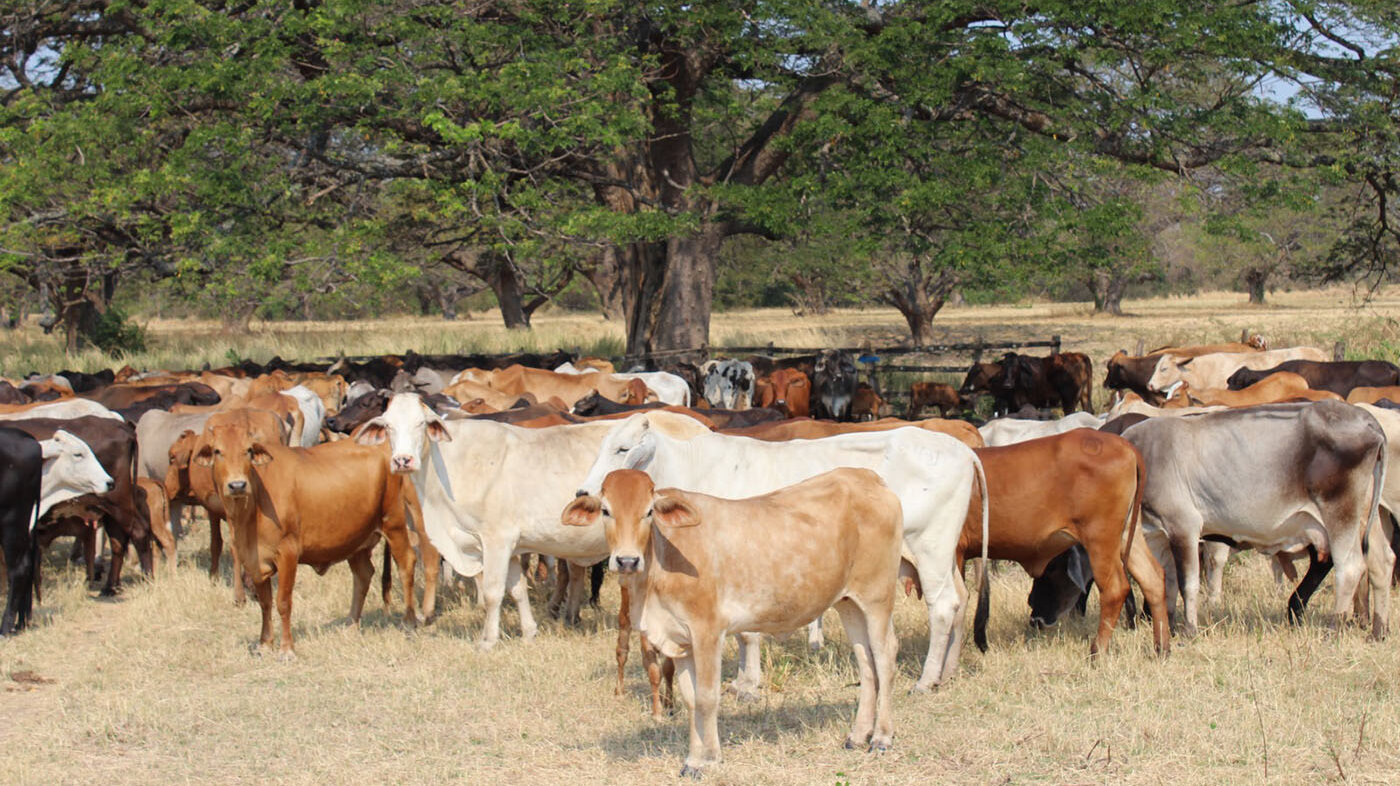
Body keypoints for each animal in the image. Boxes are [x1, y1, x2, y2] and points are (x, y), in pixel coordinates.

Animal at [562, 465, 901, 778]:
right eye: (606, 510)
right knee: (866, 663)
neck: (660, 562)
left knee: (885, 656)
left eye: (648, 512)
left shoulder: (707, 632)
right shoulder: (680, 641)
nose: (627, 561)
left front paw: (706, 760)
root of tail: (867, 477)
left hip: (878, 599)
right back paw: (858, 735)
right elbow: (691, 700)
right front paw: (695, 757)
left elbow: (707, 698)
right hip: (849, 604)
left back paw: (882, 738)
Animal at [574, 411, 991, 692]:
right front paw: (743, 680)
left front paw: (749, 684)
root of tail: (959, 449)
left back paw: (925, 680)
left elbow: (747, 633)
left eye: (622, 448)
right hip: (938, 555)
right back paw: (947, 672)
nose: (584, 491)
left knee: (943, 606)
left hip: (930, 547)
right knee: (961, 599)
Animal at [1120, 400, 1383, 633]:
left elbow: (1188, 584)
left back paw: (1333, 627)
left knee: (1349, 568)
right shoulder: (1158, 536)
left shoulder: (1184, 526)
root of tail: (1366, 419)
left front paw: (1189, 630)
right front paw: (1170, 626)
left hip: (1340, 515)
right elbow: (1167, 583)